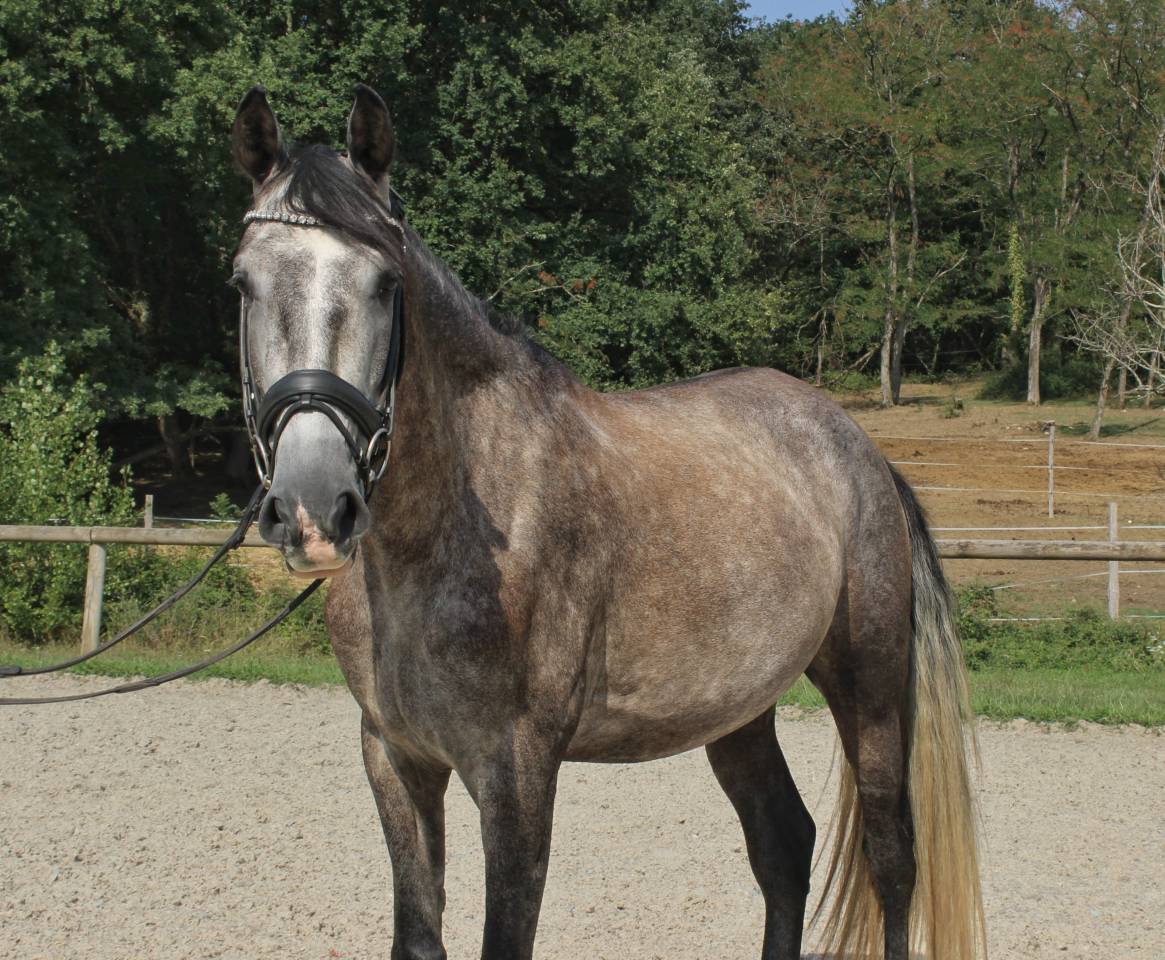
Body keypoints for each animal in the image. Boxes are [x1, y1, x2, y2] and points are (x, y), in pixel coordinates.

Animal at [229, 84, 985, 960]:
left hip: (869, 689)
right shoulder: (394, 757)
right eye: (242, 283)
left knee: (891, 861)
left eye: (387, 283)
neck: (438, 543)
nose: (313, 509)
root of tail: (858, 448)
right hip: (739, 712)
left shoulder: (516, 774)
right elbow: (417, 936)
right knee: (783, 846)